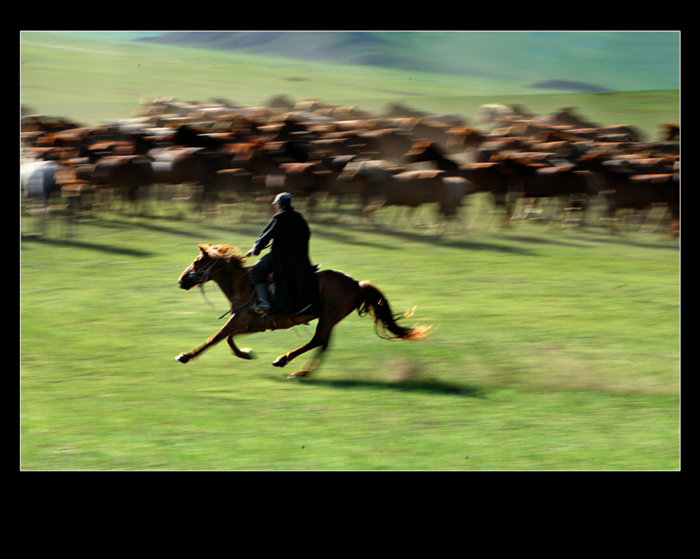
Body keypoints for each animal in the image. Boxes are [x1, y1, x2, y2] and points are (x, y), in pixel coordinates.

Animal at [175, 244, 426, 378]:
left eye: (196, 262)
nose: (181, 280)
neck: (241, 283)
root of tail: (357, 284)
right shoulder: (254, 323)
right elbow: (229, 338)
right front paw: (246, 353)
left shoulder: (240, 319)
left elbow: (216, 337)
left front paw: (186, 355)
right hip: (329, 318)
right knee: (323, 344)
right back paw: (302, 371)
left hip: (329, 317)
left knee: (318, 341)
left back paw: (286, 363)